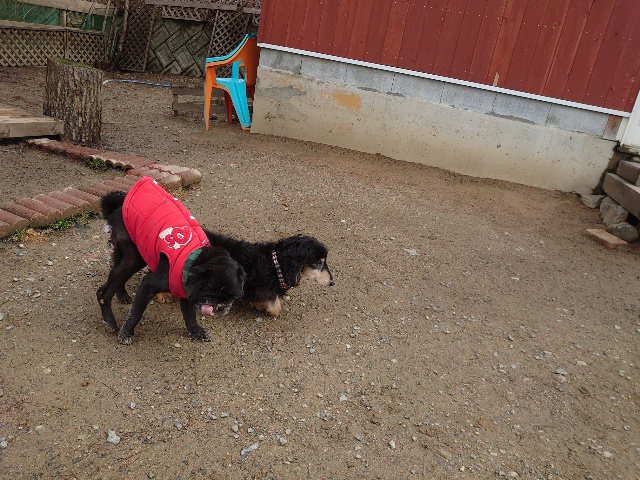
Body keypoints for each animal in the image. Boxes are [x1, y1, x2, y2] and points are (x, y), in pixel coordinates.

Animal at [97, 177, 246, 344]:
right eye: (211, 290)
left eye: (233, 297)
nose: (221, 307)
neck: (195, 256)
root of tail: (116, 209)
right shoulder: (148, 286)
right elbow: (135, 313)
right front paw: (126, 333)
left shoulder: (186, 291)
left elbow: (190, 315)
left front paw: (195, 332)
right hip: (135, 257)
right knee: (103, 293)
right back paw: (110, 322)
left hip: (124, 254)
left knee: (115, 271)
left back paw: (122, 295)